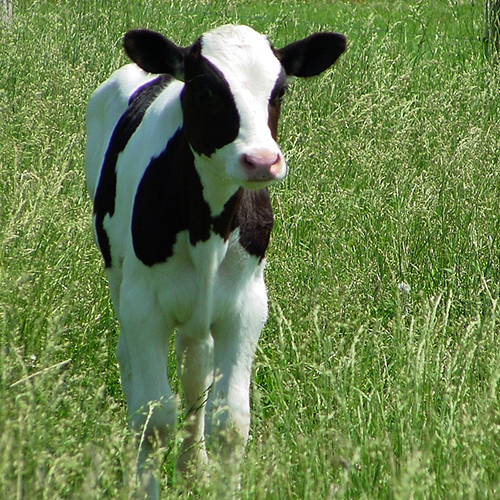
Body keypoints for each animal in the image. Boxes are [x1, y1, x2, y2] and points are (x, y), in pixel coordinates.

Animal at [84, 23, 346, 496]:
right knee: (129, 360)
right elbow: (155, 420)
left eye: (279, 90)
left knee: (195, 366)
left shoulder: (246, 304)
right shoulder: (143, 306)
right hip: (118, 278)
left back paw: (193, 466)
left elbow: (230, 421)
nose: (261, 160)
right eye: (206, 89)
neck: (209, 226)